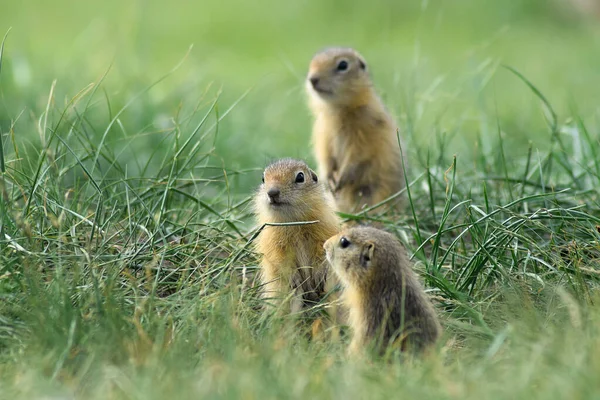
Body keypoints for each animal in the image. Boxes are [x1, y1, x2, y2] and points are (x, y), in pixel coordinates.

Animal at [254, 158, 342, 314]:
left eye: (300, 177)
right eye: (263, 179)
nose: (272, 192)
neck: (294, 222)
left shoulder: (325, 229)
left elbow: (323, 252)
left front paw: (319, 275)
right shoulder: (271, 238)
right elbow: (278, 258)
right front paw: (294, 278)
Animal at [308, 46, 406, 214]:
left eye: (343, 65)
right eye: (312, 63)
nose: (312, 79)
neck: (338, 110)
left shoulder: (365, 129)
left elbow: (358, 153)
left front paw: (341, 179)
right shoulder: (322, 131)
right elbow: (324, 155)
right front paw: (329, 180)